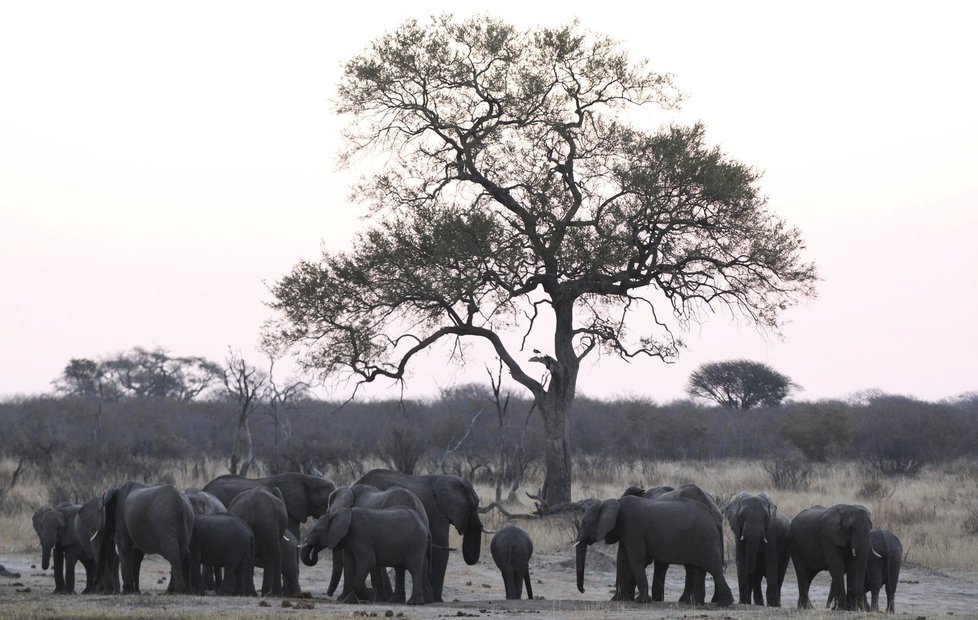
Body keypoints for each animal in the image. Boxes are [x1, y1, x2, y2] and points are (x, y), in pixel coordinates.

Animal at [300, 506, 428, 604]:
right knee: (399, 570)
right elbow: (350, 564)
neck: (341, 513)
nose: (316, 548)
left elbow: (368, 561)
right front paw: (348, 601)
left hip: (417, 543)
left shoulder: (361, 534)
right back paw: (395, 601)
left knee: (414, 570)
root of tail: (422, 522)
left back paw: (414, 603)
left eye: (316, 530)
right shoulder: (350, 540)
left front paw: (373, 594)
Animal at [572, 494, 732, 604]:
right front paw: (617, 600)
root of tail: (715, 518)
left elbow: (636, 559)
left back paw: (724, 603)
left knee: (714, 568)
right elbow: (623, 560)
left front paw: (641, 601)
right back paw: (695, 603)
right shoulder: (626, 532)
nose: (583, 590)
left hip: (706, 539)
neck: (614, 502)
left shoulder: (633, 529)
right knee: (698, 569)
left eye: (585, 523)